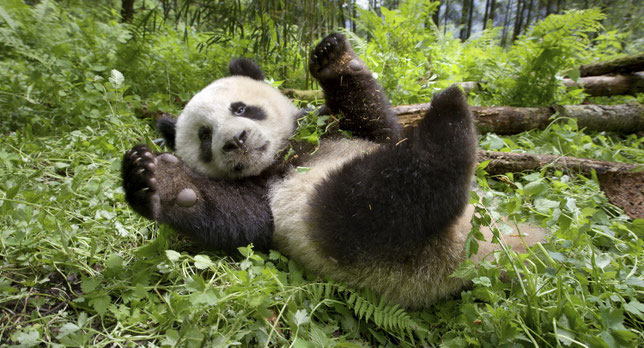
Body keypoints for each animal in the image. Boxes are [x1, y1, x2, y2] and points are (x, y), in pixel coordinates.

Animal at [122, 33, 544, 308]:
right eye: (205, 137)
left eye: (241, 108)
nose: (236, 140)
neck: (283, 154)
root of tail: (467, 258)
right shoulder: (266, 192)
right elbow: (237, 217)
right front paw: (157, 179)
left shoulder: (332, 127)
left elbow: (376, 125)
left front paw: (332, 59)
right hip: (349, 237)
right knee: (384, 199)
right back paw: (449, 120)